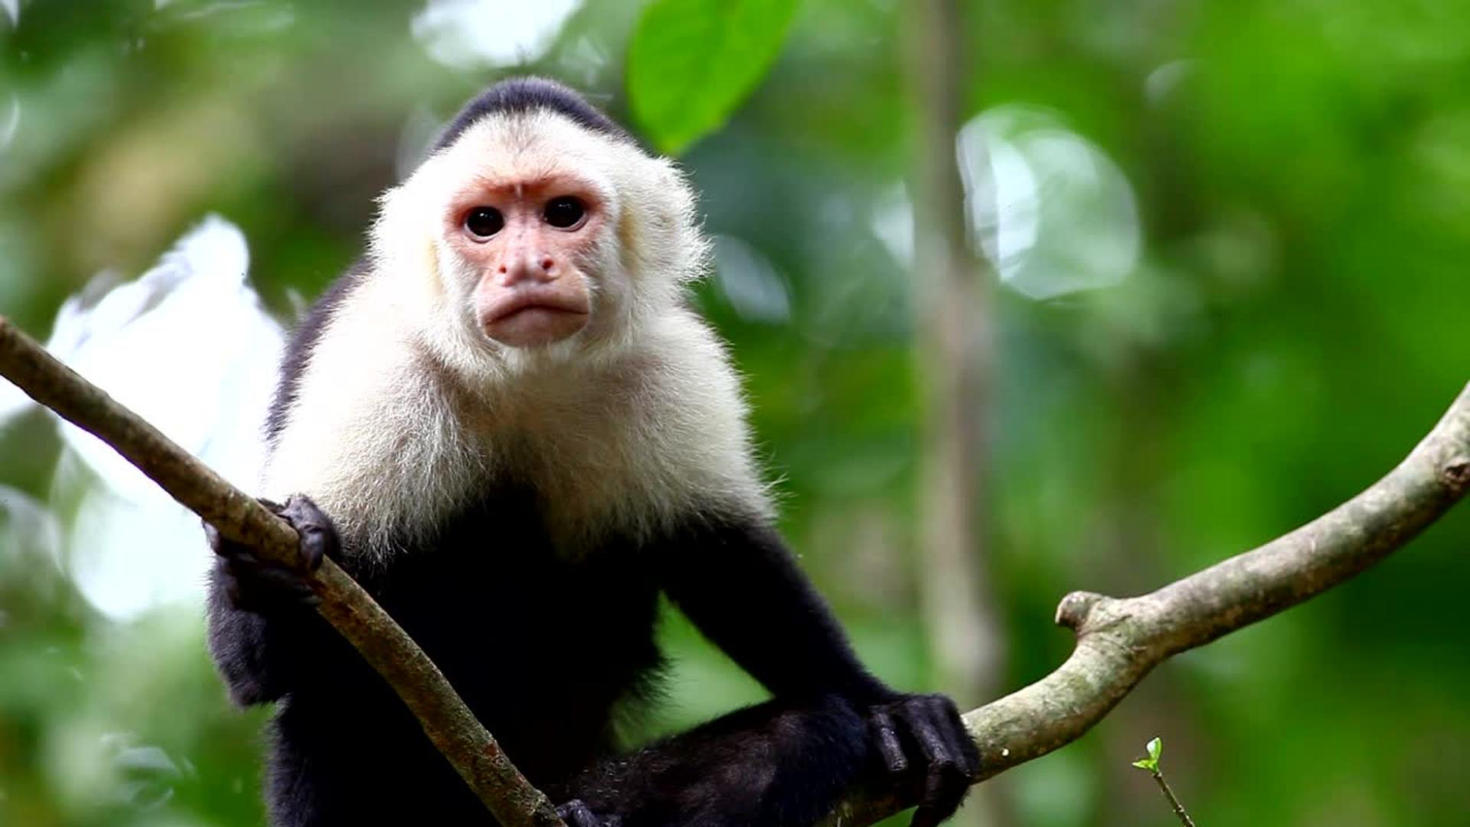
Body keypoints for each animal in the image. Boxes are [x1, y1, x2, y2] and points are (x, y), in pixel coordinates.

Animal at [204, 77, 976, 827]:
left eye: (563, 212)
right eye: (484, 223)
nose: (525, 264)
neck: (528, 376)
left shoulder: (672, 361)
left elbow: (723, 555)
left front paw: (887, 706)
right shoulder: (374, 359)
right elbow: (252, 666)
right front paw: (275, 564)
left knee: (810, 728)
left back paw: (591, 815)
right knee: (326, 712)